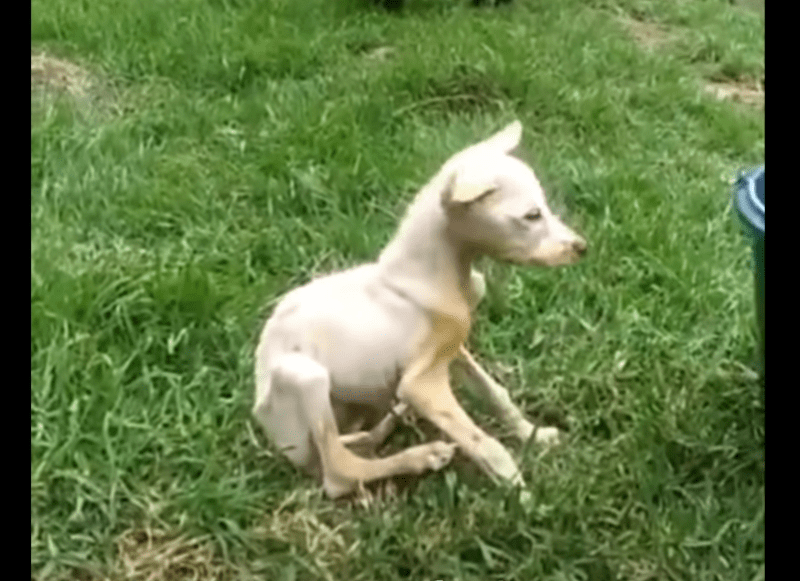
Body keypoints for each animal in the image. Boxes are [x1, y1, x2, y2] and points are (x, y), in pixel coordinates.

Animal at [253, 120, 584, 496]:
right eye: (531, 215)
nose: (582, 247)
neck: (434, 274)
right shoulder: (422, 385)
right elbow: (485, 443)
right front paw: (520, 495)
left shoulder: (451, 349)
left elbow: (494, 392)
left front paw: (533, 434)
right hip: (305, 377)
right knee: (338, 472)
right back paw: (422, 457)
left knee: (357, 444)